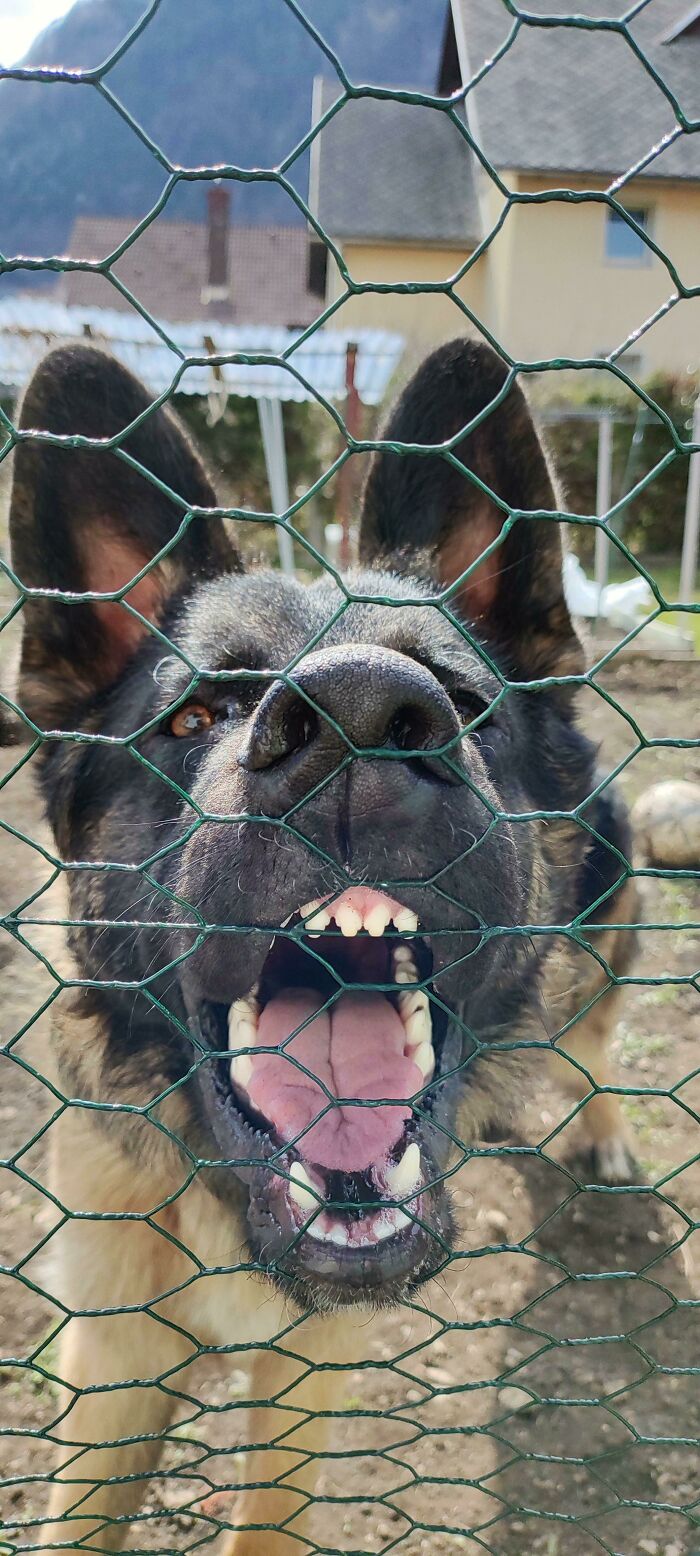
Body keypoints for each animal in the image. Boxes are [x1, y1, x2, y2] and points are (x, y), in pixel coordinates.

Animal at [8, 334, 637, 1549]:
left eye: (459, 701)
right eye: (196, 716)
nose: (357, 716)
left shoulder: (307, 1377)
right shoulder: (109, 1356)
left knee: (593, 1027)